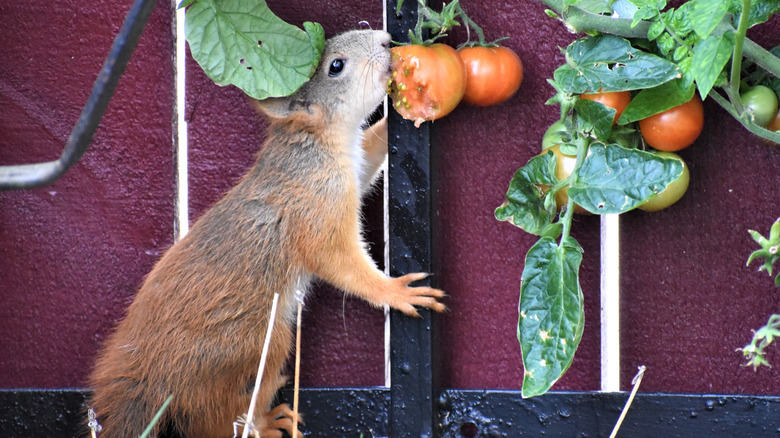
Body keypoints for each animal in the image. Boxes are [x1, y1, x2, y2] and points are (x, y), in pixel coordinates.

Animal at [87, 29, 444, 436]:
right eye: (336, 66)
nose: (386, 41)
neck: (314, 144)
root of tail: (151, 374)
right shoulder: (315, 209)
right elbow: (340, 263)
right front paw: (396, 291)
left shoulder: (355, 165)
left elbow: (370, 153)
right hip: (257, 344)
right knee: (216, 418)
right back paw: (266, 424)